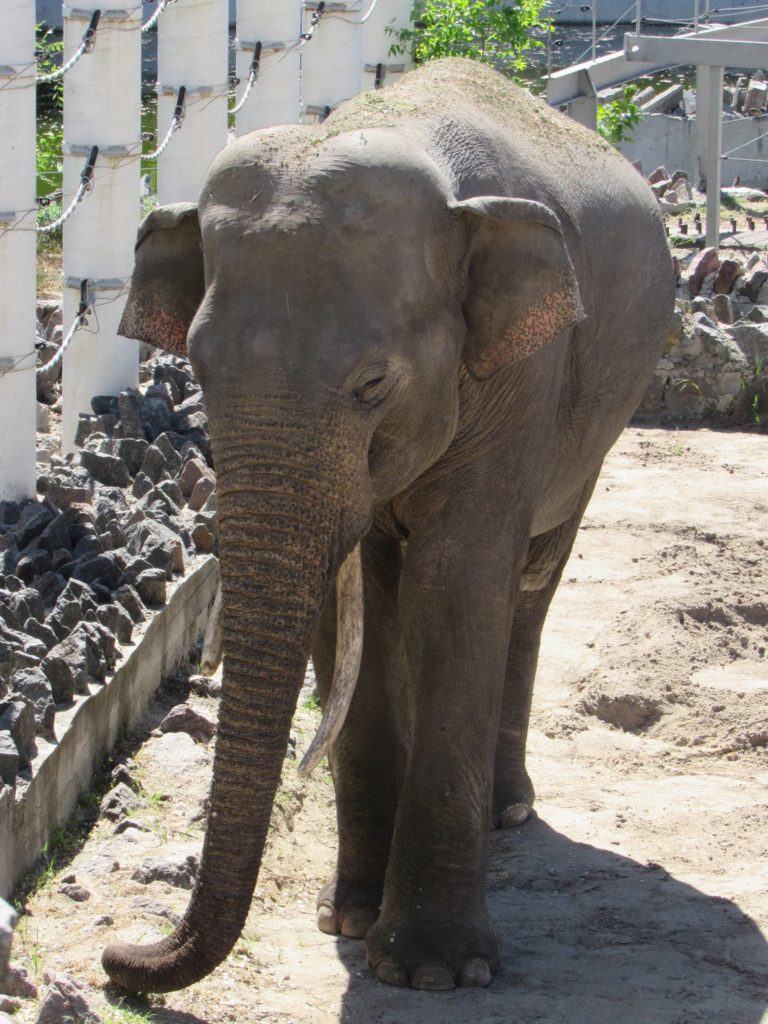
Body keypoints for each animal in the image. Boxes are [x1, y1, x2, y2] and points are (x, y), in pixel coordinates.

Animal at [100, 56, 671, 991]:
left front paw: (434, 973)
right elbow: (345, 615)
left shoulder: (522, 377)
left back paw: (508, 812)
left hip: (600, 422)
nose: (119, 955)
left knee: (530, 585)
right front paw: (347, 921)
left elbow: (458, 588)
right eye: (199, 371)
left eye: (372, 384)